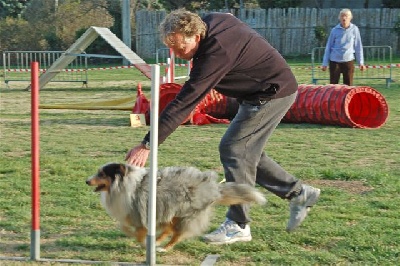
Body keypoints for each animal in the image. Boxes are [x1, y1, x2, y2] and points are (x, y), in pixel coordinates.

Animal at [86, 162, 266, 251]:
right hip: (171, 212)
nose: (87, 181)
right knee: (168, 229)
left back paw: (165, 247)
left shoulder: (140, 214)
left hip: (185, 215)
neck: (122, 184)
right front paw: (141, 238)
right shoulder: (133, 214)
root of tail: (213, 189)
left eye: (102, 174)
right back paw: (157, 241)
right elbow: (124, 226)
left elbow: (137, 232)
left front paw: (142, 242)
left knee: (177, 235)